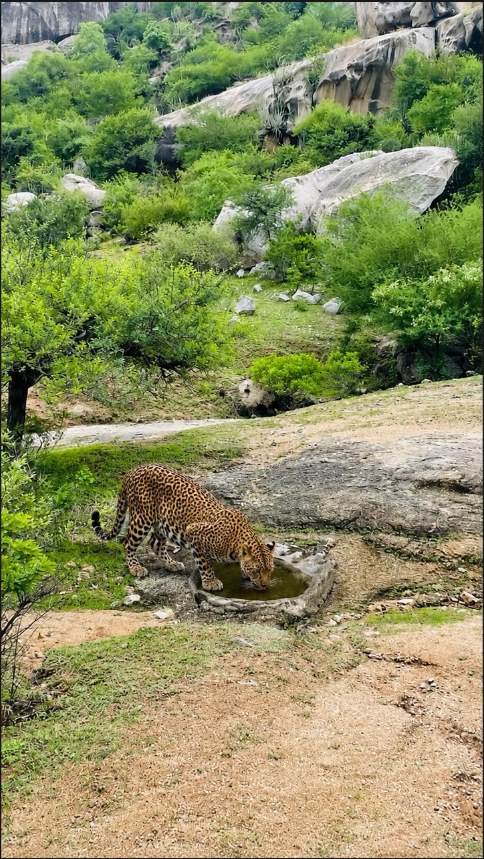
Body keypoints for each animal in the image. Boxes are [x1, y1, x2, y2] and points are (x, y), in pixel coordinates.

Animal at [91, 463, 275, 592]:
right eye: (258, 571)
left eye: (270, 570)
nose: (265, 586)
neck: (235, 541)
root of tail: (132, 470)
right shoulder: (194, 532)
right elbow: (205, 564)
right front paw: (210, 582)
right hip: (142, 518)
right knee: (128, 543)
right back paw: (136, 568)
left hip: (162, 523)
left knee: (154, 543)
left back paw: (171, 564)